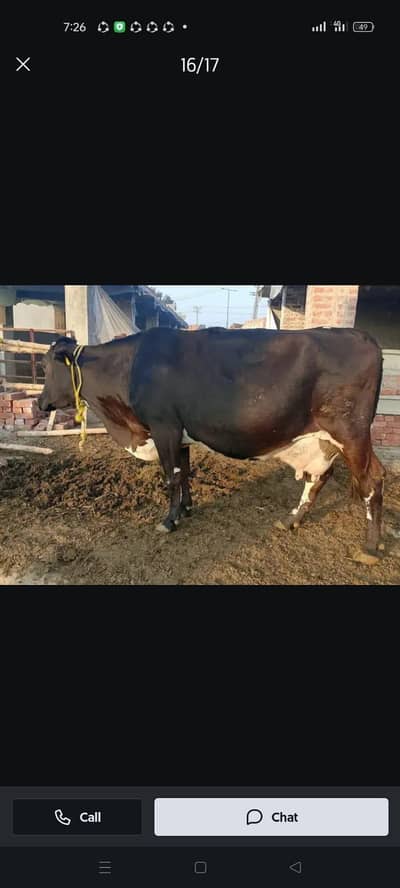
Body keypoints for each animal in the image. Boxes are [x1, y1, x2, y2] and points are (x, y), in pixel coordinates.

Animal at [38, 326, 385, 563]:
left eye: (47, 367)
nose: (41, 403)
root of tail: (362, 336)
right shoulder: (179, 433)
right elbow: (185, 473)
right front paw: (186, 508)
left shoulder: (164, 426)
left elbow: (171, 476)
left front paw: (169, 520)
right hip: (327, 439)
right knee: (322, 477)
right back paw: (291, 521)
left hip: (351, 432)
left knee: (370, 480)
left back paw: (370, 547)